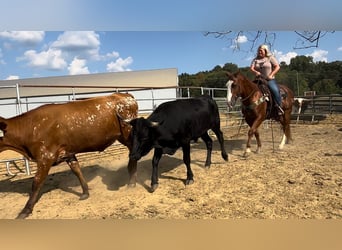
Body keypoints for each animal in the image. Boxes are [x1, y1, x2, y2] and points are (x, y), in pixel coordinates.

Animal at [0, 92, 139, 219]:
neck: (30, 127)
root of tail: (124, 95)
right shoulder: (68, 153)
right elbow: (77, 170)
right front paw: (85, 192)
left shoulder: (46, 158)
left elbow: (36, 182)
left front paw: (25, 210)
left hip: (128, 134)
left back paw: (132, 182)